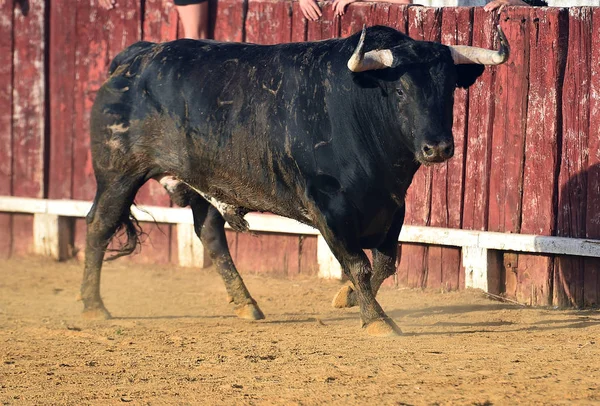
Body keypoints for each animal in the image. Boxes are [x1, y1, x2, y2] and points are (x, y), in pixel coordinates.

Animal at [83, 24, 506, 336]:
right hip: (118, 172)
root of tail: (136, 56)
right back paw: (93, 306)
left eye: (449, 90)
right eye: (400, 90)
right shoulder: (327, 208)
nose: (438, 148)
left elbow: (386, 263)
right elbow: (359, 264)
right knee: (100, 225)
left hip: (201, 180)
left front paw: (347, 299)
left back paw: (247, 305)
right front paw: (376, 321)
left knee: (211, 235)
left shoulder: (393, 205)